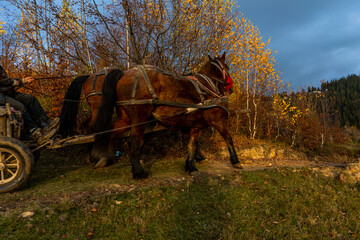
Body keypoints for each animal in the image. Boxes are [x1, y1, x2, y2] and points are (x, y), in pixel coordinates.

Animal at [90, 53, 242, 179]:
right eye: (227, 67)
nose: (231, 88)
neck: (208, 85)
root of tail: (124, 73)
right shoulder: (218, 120)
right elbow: (228, 138)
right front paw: (235, 161)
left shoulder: (194, 125)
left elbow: (192, 145)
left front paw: (190, 165)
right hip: (140, 117)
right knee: (133, 142)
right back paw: (139, 172)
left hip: (125, 118)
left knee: (112, 133)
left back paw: (107, 158)